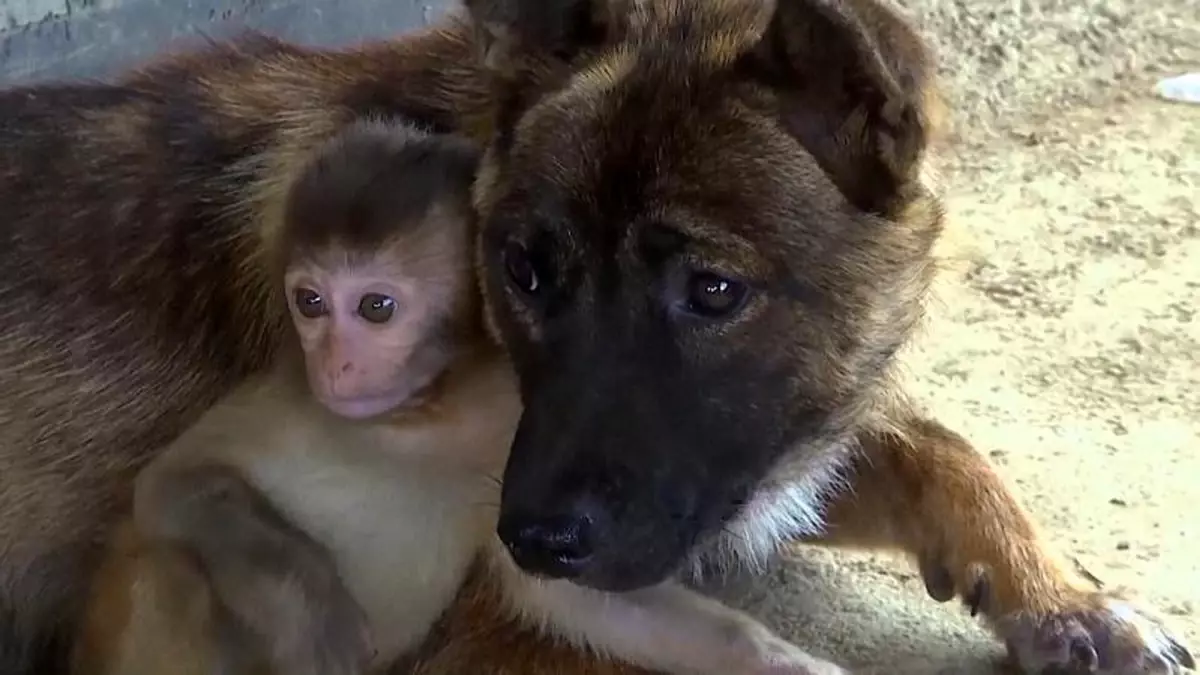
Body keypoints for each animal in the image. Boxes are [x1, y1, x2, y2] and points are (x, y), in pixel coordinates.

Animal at [70, 119, 830, 672]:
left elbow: (563, 589)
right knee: (174, 563)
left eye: (375, 307)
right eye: (310, 302)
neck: (425, 411)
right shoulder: (288, 395)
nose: (335, 364)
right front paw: (312, 611)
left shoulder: (516, 419)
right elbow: (170, 482)